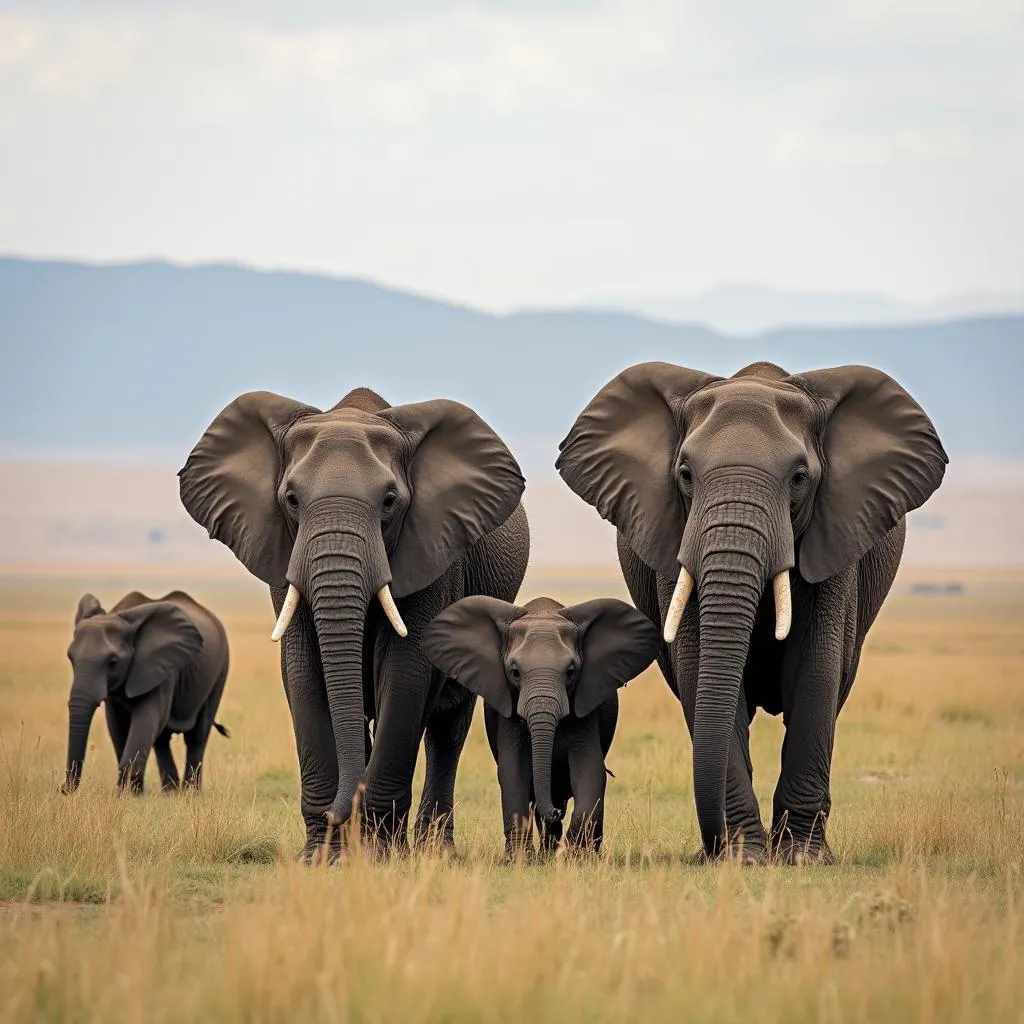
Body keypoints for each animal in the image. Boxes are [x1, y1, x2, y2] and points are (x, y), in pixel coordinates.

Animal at [64, 589, 232, 794]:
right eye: (70, 658)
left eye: (113, 662)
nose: (63, 789)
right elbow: (117, 726)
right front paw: (130, 793)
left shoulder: (161, 667)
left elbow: (146, 718)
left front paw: (126, 794)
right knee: (162, 739)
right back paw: (170, 792)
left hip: (220, 670)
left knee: (197, 734)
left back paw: (190, 793)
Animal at [179, 385, 528, 856]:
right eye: (291, 499)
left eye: (389, 501)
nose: (337, 814)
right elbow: (303, 673)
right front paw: (321, 855)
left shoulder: (431, 553)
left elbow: (403, 672)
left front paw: (380, 853)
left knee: (447, 728)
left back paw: (432, 850)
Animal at [419, 593, 659, 856]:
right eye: (515, 672)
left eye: (571, 671)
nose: (555, 811)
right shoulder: (509, 713)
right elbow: (512, 770)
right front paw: (521, 858)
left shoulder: (585, 710)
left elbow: (590, 770)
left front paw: (574, 856)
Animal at [557, 364, 946, 860]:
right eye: (685, 474)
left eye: (799, 477)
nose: (710, 847)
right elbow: (696, 668)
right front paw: (743, 858)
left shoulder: (836, 540)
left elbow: (816, 668)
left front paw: (800, 858)